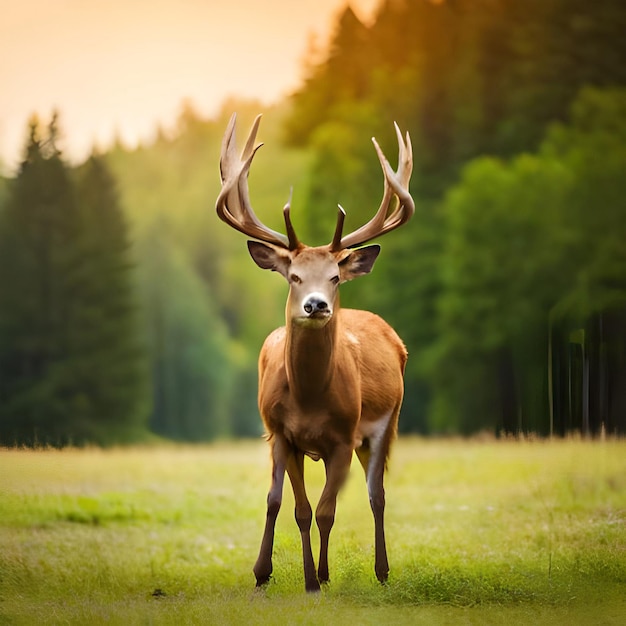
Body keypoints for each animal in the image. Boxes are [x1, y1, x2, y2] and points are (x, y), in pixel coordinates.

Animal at [216, 113, 414, 588]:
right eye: (293, 276)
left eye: (335, 277)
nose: (317, 305)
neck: (307, 398)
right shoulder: (279, 433)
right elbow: (290, 507)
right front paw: (269, 573)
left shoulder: (343, 434)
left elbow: (326, 510)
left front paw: (316, 579)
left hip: (386, 423)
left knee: (376, 495)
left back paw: (381, 570)